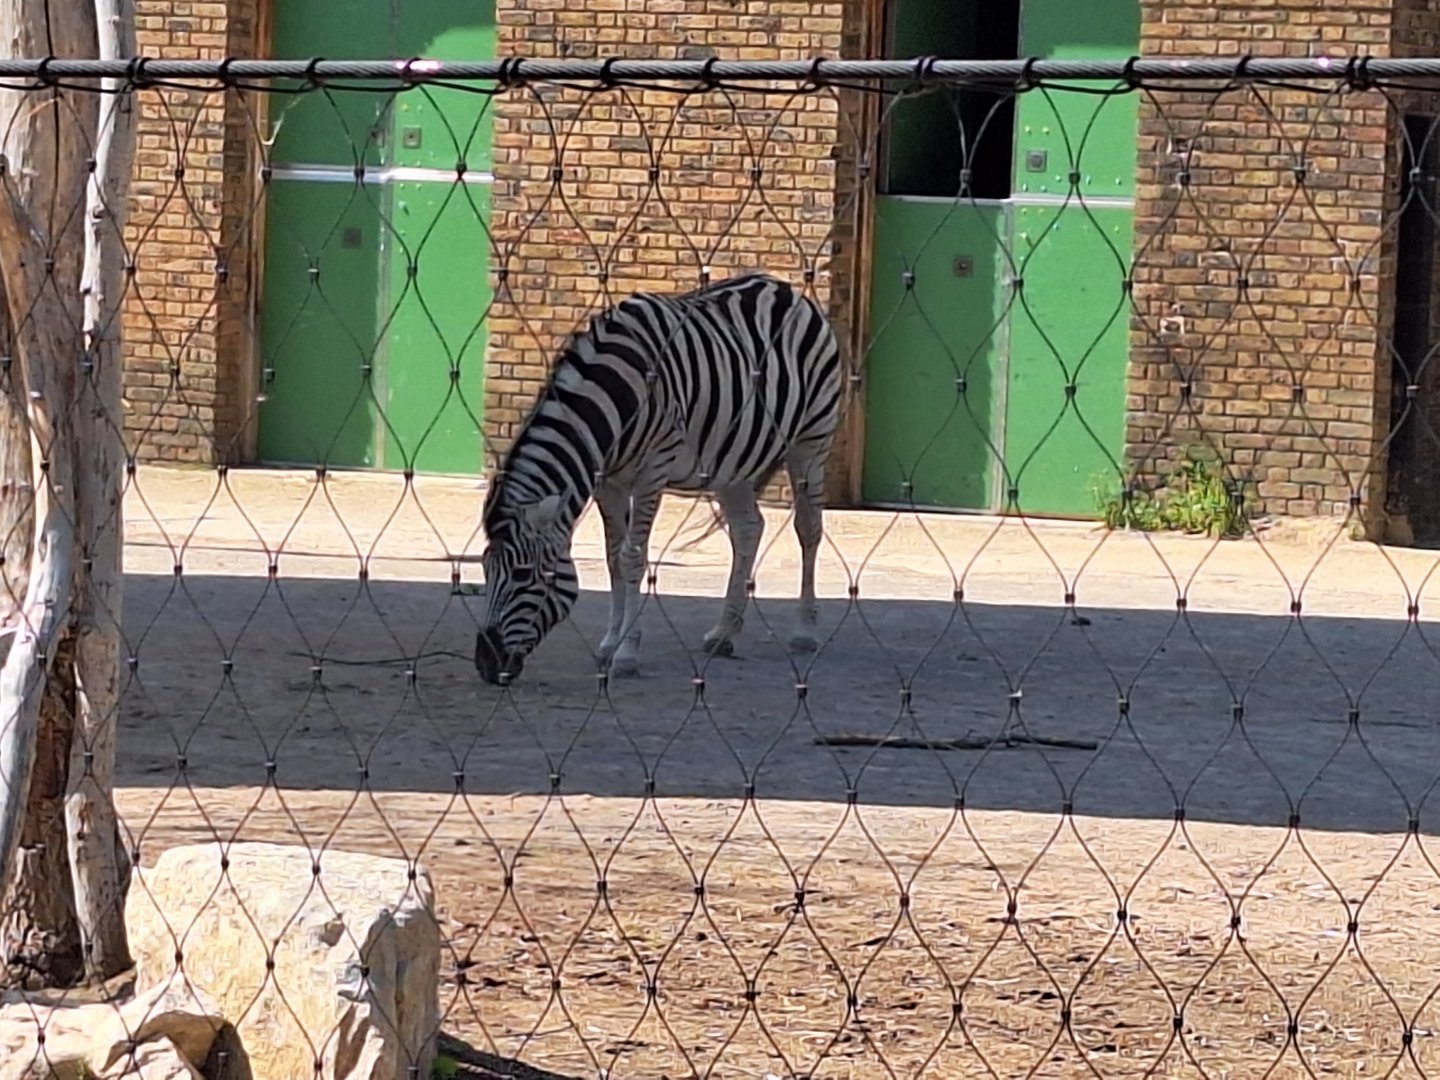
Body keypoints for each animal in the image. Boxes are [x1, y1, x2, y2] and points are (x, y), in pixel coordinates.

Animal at [473, 271, 843, 686]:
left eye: (522, 575)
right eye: (485, 568)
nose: (485, 665)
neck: (613, 395)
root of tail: (784, 287)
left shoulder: (653, 468)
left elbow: (633, 558)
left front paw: (626, 653)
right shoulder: (607, 480)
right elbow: (613, 558)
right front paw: (610, 642)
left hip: (811, 440)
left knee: (808, 528)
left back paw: (804, 632)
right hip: (734, 460)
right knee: (749, 528)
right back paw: (724, 632)